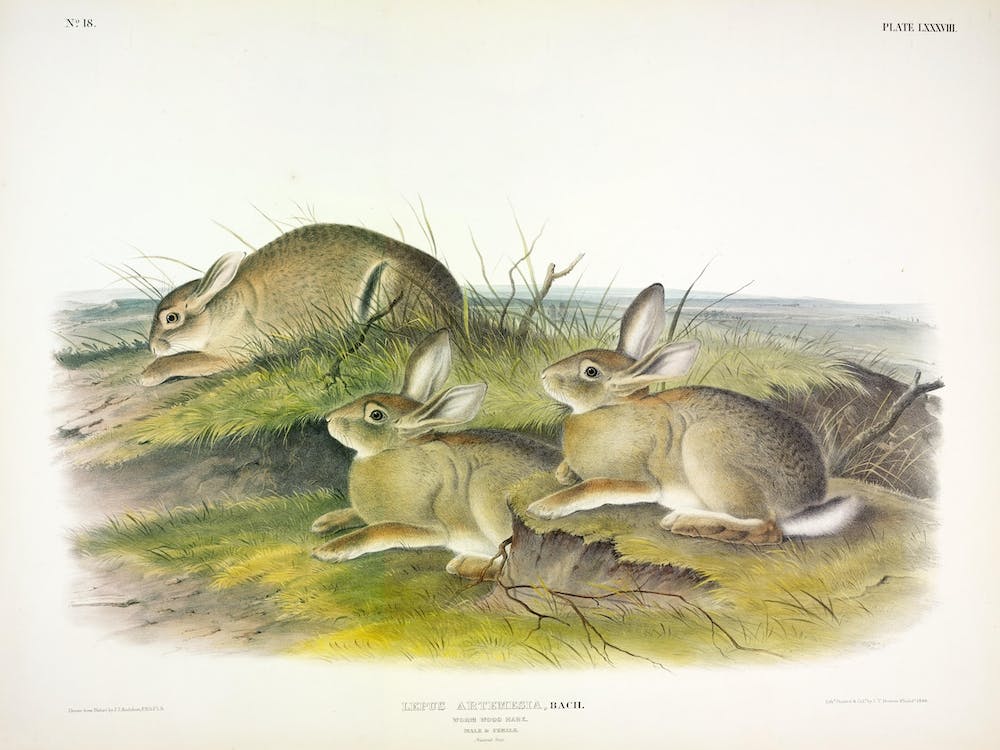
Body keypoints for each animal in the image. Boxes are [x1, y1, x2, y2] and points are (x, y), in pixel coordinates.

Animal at [140, 223, 462, 385]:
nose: (153, 347)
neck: (218, 310)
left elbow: (183, 359)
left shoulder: (231, 354)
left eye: (171, 318)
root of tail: (456, 307)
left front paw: (148, 375)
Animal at [311, 329, 561, 579]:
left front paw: (328, 550)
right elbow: (356, 514)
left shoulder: (431, 528)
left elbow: (380, 530)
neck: (396, 450)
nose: (329, 418)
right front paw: (323, 522)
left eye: (376, 415)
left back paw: (461, 564)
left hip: (487, 491)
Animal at [526, 283, 861, 545]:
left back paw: (687, 522)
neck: (614, 409)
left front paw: (543, 507)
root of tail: (807, 500)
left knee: (767, 528)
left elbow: (596, 485)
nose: (543, 375)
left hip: (707, 450)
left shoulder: (642, 482)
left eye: (590, 372)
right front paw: (563, 473)